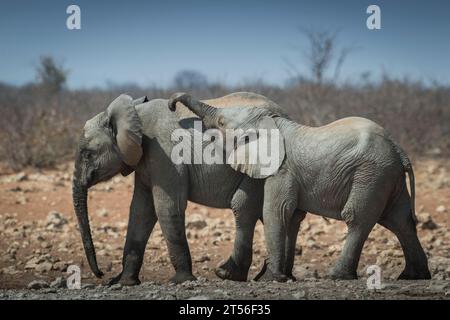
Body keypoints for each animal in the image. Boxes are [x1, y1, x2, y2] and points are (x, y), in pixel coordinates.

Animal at [72, 90, 302, 284]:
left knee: (244, 207)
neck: (134, 112)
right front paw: (125, 283)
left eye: (87, 154)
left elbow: (167, 207)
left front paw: (181, 281)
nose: (101, 274)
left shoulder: (163, 154)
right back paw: (278, 275)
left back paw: (232, 275)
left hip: (261, 165)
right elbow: (140, 211)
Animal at [167, 92, 430, 280]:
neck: (273, 123)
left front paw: (271, 279)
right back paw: (413, 276)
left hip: (371, 175)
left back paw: (337, 276)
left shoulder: (282, 170)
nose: (171, 104)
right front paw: (282, 276)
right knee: (400, 220)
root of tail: (400, 150)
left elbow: (276, 212)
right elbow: (291, 216)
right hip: (389, 177)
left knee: (358, 218)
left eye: (221, 122)